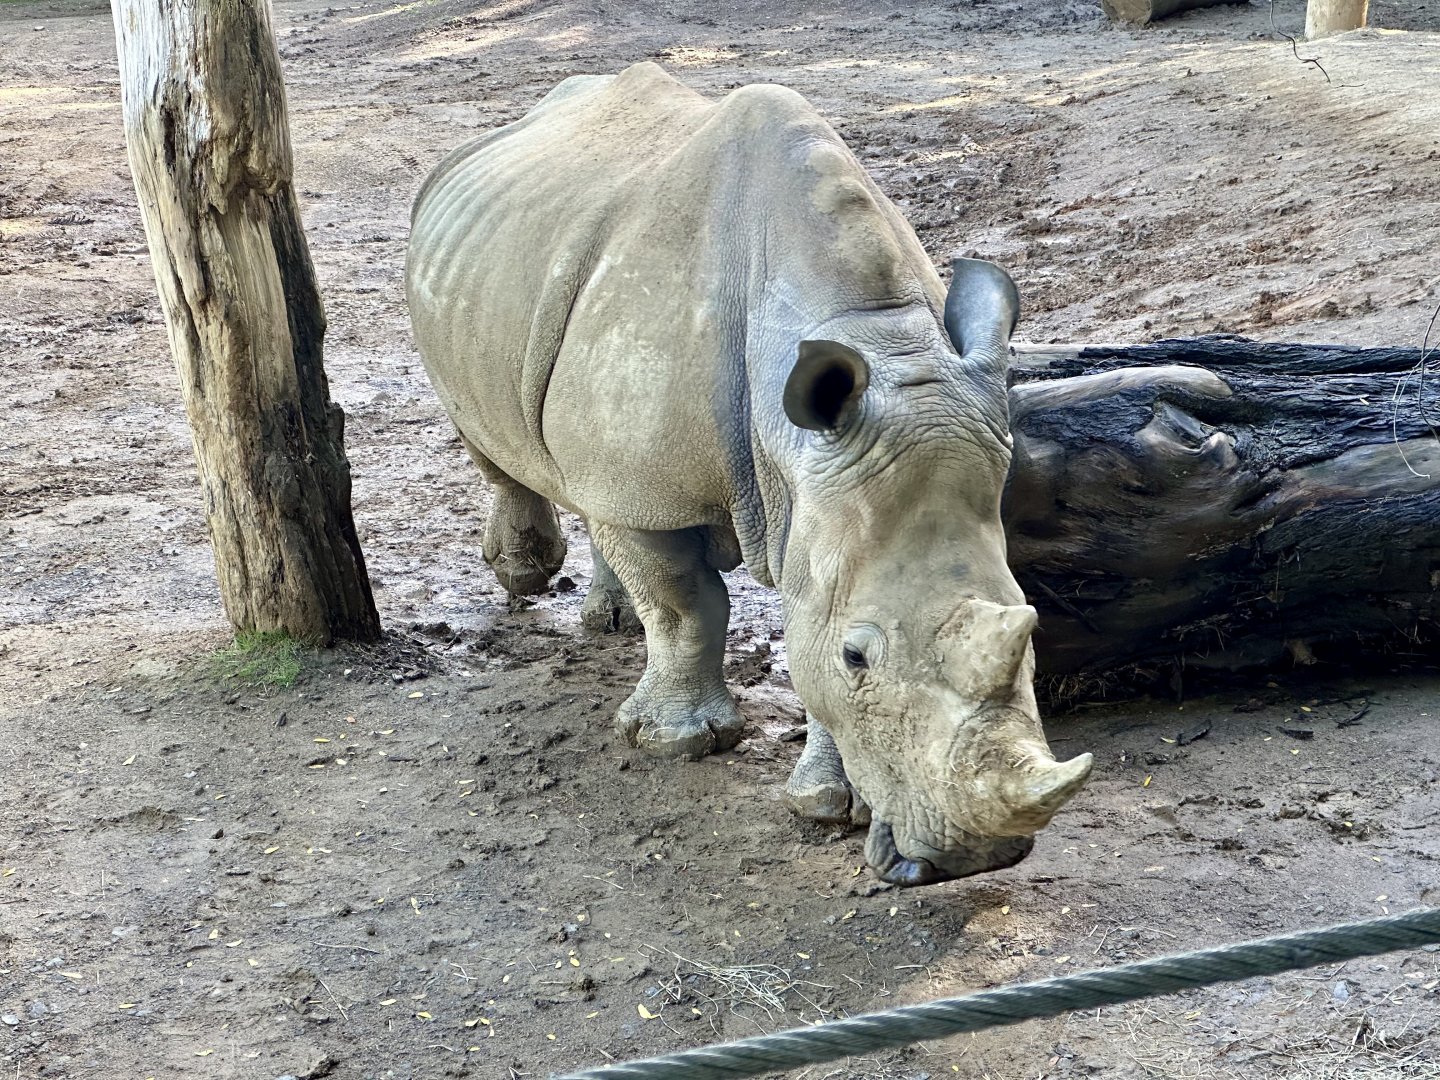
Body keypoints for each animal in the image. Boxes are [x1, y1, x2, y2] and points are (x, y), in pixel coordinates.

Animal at [406, 62, 1092, 886]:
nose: (977, 859)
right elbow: (686, 606)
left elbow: (804, 633)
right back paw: (525, 577)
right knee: (507, 452)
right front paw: (674, 743)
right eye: (858, 655)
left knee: (593, 484)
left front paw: (832, 806)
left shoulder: (825, 498)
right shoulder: (682, 489)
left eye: (1031, 625)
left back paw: (608, 618)